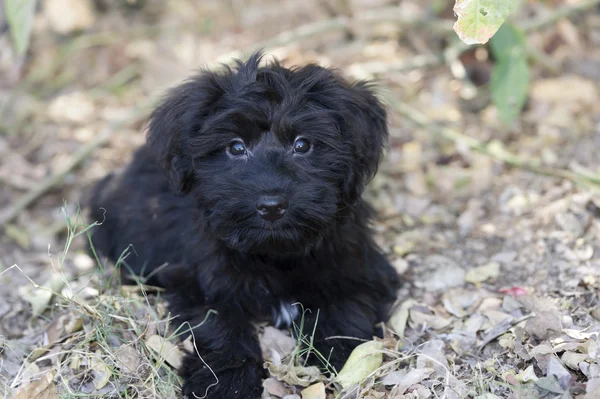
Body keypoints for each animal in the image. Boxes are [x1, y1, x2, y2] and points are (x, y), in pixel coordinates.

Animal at [88, 54, 398, 399]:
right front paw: (226, 383)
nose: (271, 206)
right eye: (236, 148)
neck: (274, 253)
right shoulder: (202, 281)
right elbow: (220, 327)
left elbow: (346, 306)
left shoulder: (357, 264)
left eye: (303, 145)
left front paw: (341, 358)